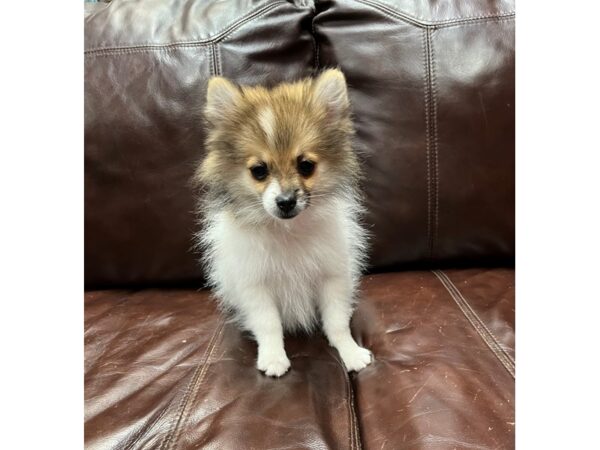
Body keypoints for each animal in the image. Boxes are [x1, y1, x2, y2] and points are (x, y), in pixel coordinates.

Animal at [195, 67, 372, 376]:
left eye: (306, 166)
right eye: (259, 171)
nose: (286, 201)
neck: (287, 230)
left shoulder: (332, 277)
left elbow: (336, 322)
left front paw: (350, 352)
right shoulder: (255, 285)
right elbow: (269, 324)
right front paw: (274, 358)